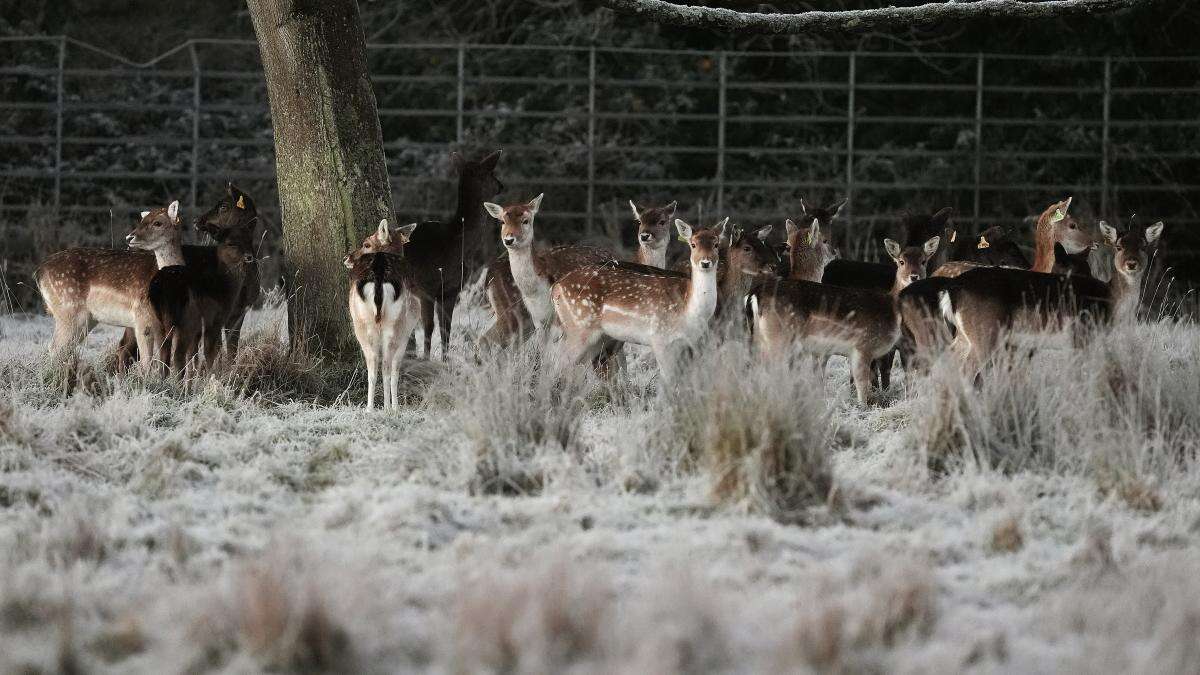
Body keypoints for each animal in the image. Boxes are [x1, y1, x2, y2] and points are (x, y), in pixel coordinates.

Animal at [348, 218, 422, 408]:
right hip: (395, 325)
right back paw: (390, 407)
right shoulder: (407, 332)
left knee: (374, 363)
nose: (346, 258)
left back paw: (370, 408)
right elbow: (394, 370)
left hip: (362, 323)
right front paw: (393, 406)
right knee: (387, 366)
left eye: (366, 244)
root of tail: (379, 276)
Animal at [549, 218, 720, 381]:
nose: (705, 262)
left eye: (716, 244)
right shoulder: (660, 338)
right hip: (578, 327)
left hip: (598, 337)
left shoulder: (692, 344)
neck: (689, 307)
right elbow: (667, 382)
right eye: (693, 244)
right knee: (558, 366)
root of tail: (556, 287)